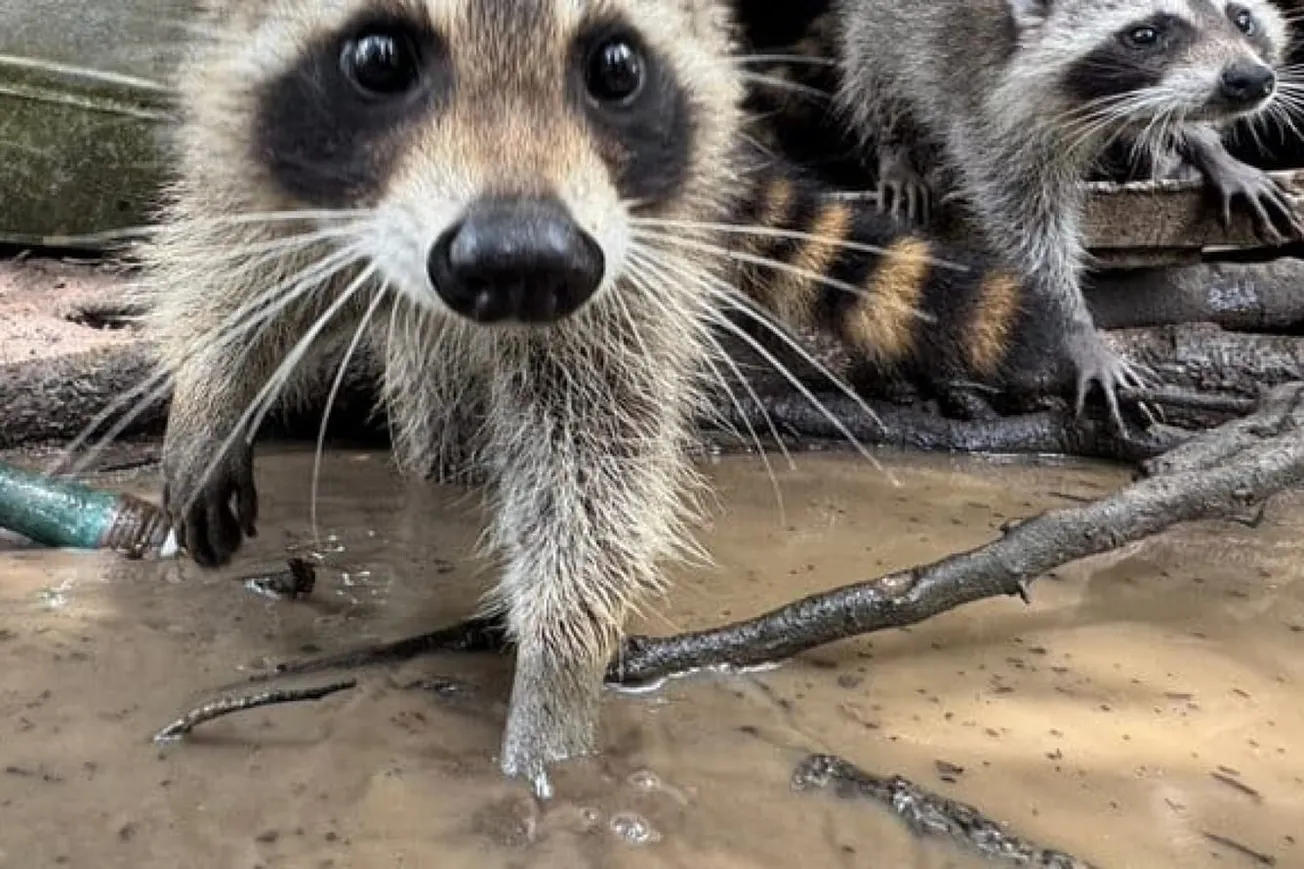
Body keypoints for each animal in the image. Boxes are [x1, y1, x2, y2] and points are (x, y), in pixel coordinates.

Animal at [145, 0, 1060, 795]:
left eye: (617, 69)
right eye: (378, 60)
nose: (518, 261)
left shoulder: (621, 252)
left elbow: (599, 442)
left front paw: (558, 672)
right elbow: (233, 251)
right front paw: (211, 397)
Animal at [833, 0, 1298, 422]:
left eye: (1242, 19)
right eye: (1145, 35)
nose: (1252, 79)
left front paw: (1207, 147)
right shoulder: (987, 100)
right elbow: (1026, 227)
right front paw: (1074, 326)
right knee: (875, 64)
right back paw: (895, 150)